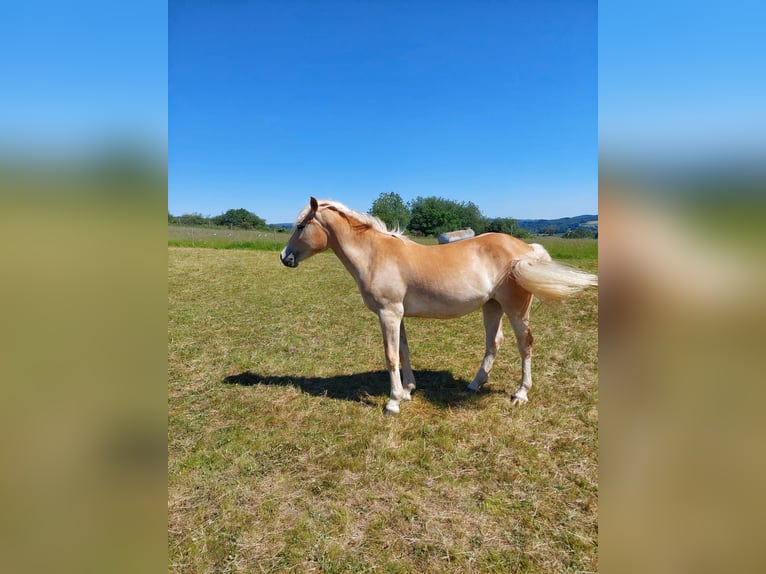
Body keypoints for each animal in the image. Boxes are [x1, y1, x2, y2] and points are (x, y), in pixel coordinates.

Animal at [280, 197, 597, 416]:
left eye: (301, 226)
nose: (284, 257)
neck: (375, 255)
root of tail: (526, 250)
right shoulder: (398, 315)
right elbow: (404, 351)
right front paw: (407, 391)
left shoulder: (388, 313)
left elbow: (391, 356)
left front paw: (393, 403)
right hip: (492, 306)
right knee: (494, 342)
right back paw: (474, 384)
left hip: (516, 310)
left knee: (525, 344)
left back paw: (520, 394)